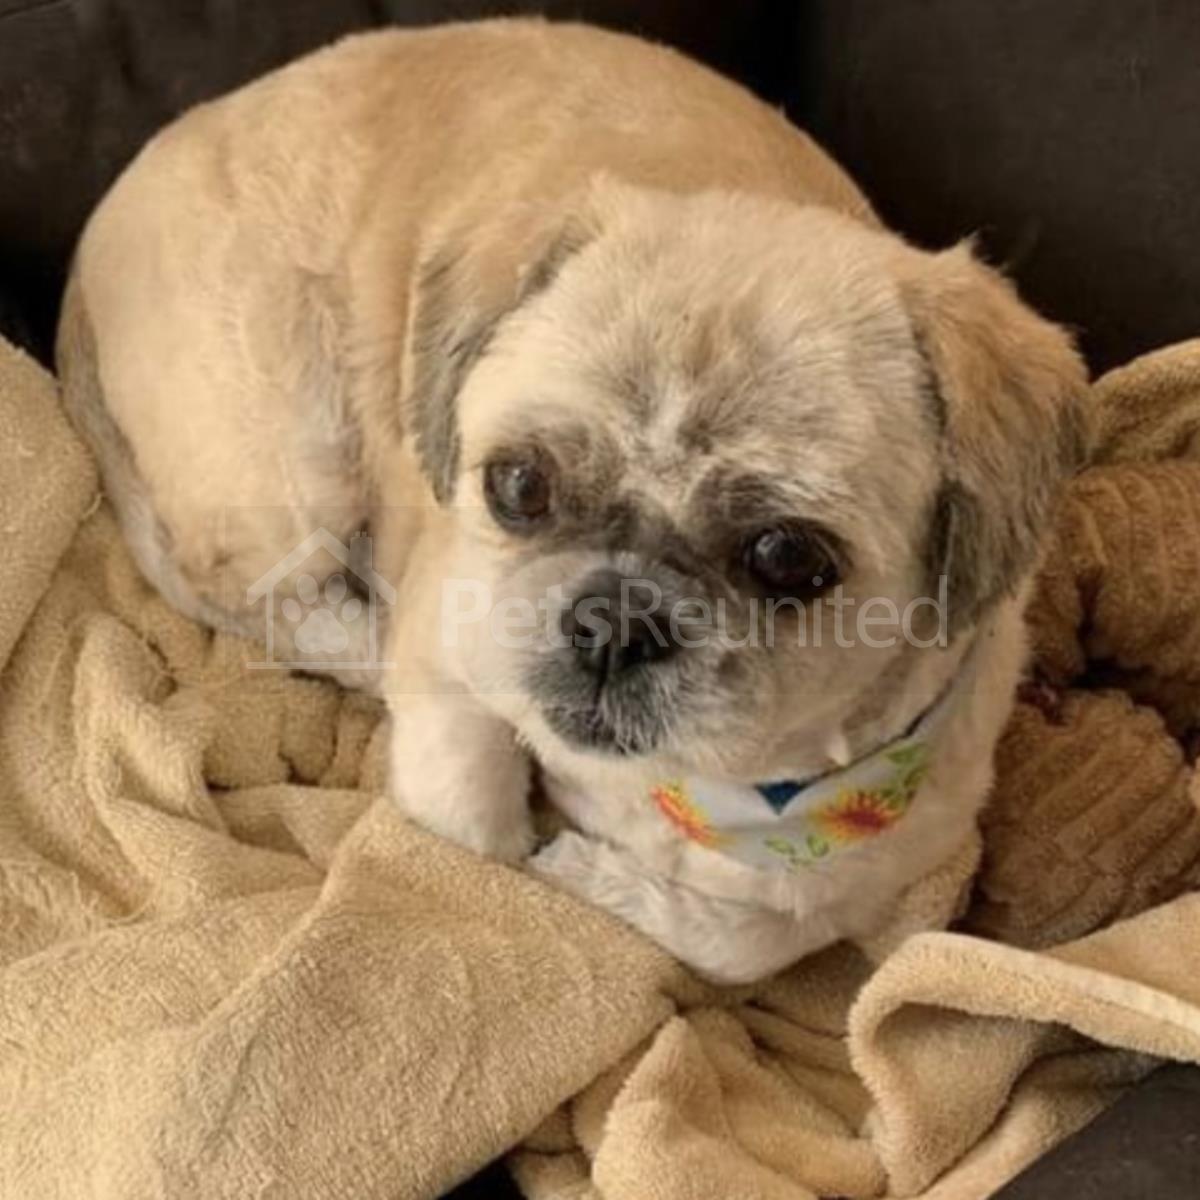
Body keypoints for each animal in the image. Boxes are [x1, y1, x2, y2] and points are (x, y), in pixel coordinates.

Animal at [58, 19, 1088, 983]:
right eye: (518, 485)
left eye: (790, 558)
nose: (614, 619)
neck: (707, 787)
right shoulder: (451, 658)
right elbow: (479, 831)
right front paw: (555, 862)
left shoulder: (890, 854)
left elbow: (755, 938)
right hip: (294, 468)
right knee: (278, 597)